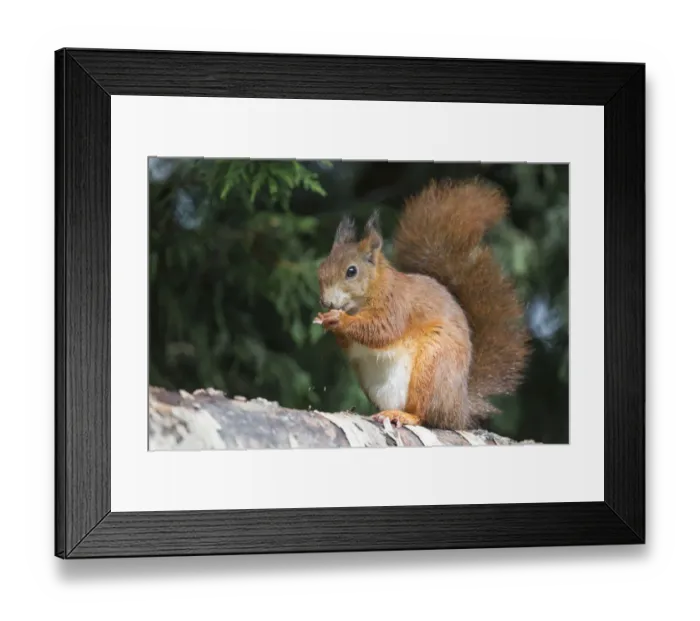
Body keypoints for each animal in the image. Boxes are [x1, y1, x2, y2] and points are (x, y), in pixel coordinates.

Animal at [314, 178, 530, 430]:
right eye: (321, 268)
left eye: (351, 271)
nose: (325, 301)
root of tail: (459, 410)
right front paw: (327, 320)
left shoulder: (397, 304)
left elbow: (382, 329)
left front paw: (340, 319)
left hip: (433, 367)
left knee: (426, 415)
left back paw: (404, 416)